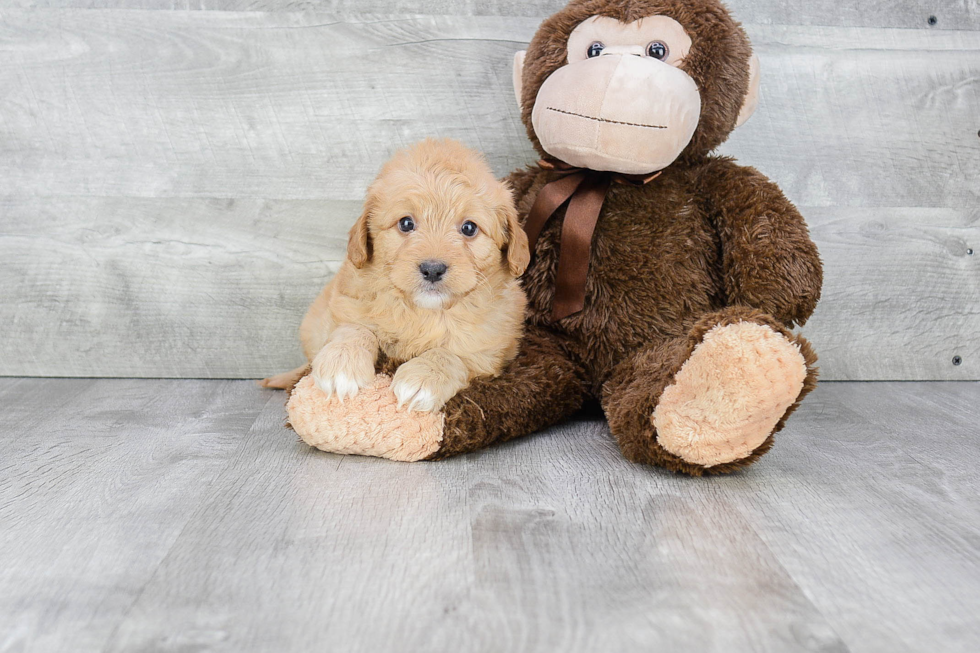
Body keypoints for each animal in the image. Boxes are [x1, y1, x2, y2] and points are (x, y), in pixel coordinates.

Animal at [262, 139, 528, 410]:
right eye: (406, 223)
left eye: (469, 228)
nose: (433, 269)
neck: (423, 312)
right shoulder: (346, 304)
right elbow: (354, 329)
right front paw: (342, 363)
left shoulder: (489, 350)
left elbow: (454, 354)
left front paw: (423, 378)